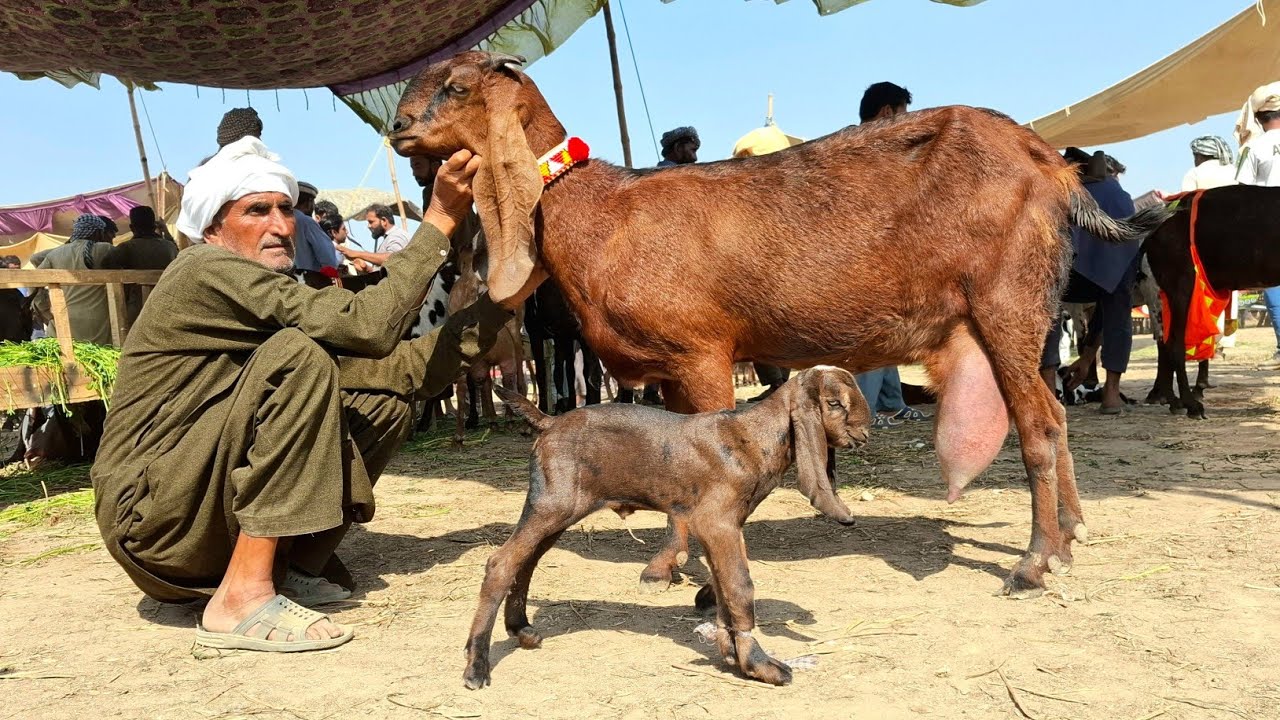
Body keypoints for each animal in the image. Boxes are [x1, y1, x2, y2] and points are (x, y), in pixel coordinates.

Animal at [389, 51, 1172, 598]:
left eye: (455, 85)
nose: (398, 129)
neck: (601, 213)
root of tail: (1046, 162)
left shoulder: (702, 352)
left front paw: (685, 567)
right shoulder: (669, 366)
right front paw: (666, 564)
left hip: (1007, 303)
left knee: (1038, 427)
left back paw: (1033, 564)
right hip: (1023, 316)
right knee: (1055, 419)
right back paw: (1067, 537)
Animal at [463, 368, 870, 689]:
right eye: (834, 403)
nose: (864, 434)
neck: (754, 436)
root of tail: (549, 421)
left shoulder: (718, 530)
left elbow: (723, 589)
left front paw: (732, 655)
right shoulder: (717, 523)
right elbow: (739, 587)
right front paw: (759, 664)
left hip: (557, 512)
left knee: (526, 562)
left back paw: (521, 630)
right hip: (551, 505)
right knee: (501, 563)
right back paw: (476, 666)